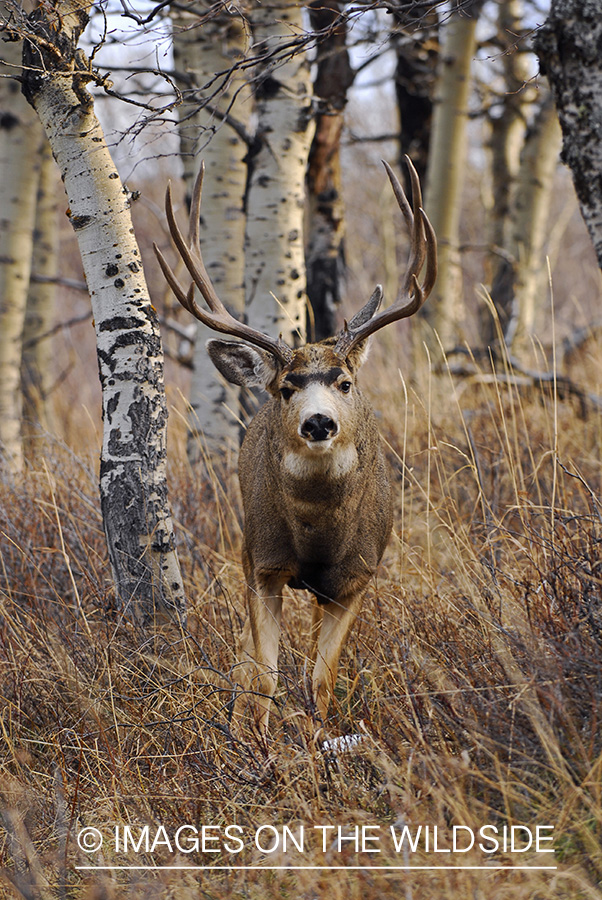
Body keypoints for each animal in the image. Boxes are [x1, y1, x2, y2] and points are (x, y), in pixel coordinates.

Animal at [155, 157, 436, 733]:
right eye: (286, 388)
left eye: (344, 383)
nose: (319, 423)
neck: (318, 536)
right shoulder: (263, 561)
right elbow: (264, 678)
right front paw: (256, 745)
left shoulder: (359, 575)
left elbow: (319, 683)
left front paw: (317, 742)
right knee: (246, 656)